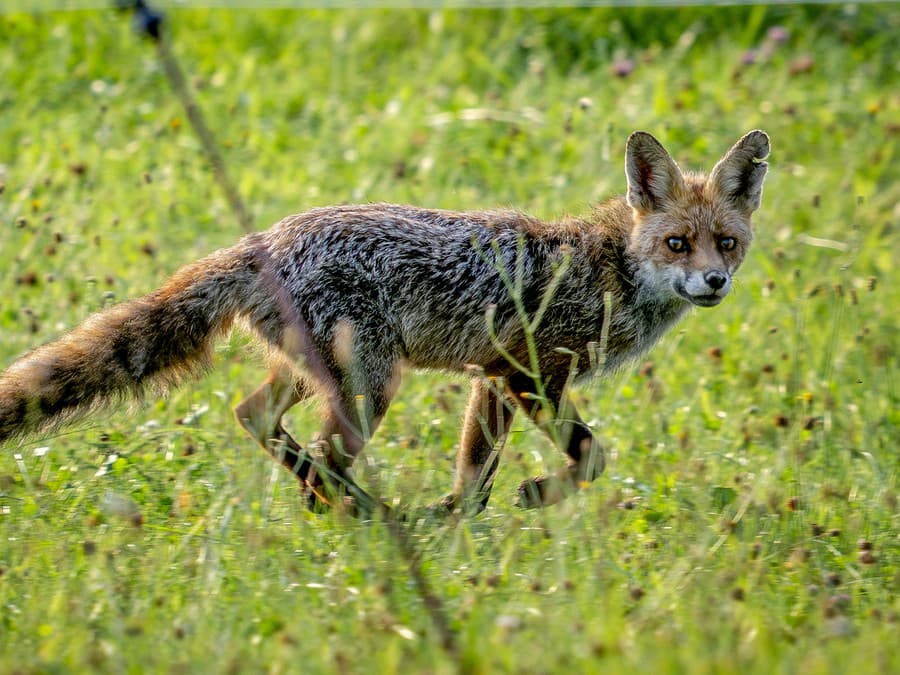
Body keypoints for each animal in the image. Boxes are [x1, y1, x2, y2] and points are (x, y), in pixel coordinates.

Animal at [1, 129, 772, 516]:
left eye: (726, 243)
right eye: (678, 243)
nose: (714, 282)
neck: (607, 270)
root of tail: (266, 239)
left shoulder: (492, 379)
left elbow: (474, 477)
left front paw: (457, 522)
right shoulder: (528, 373)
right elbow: (591, 456)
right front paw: (533, 497)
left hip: (316, 376)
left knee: (254, 416)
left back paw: (361, 509)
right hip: (372, 387)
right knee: (318, 468)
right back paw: (360, 516)